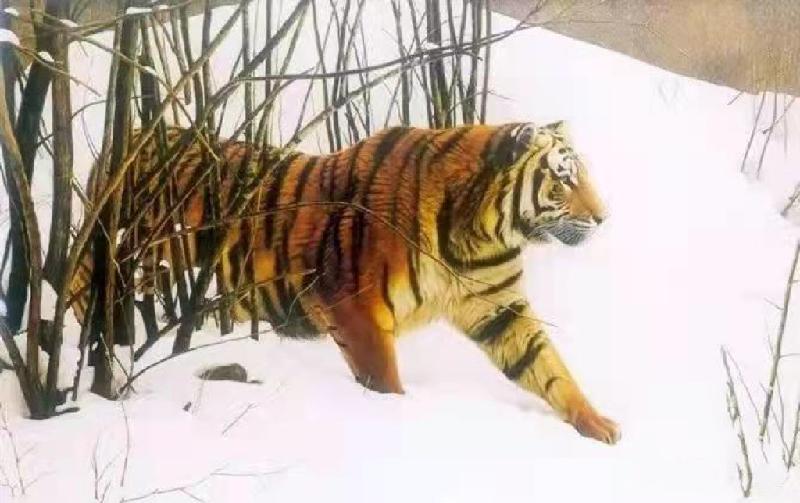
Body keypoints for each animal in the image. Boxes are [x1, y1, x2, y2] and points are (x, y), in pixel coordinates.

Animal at [69, 121, 619, 444]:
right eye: (564, 179)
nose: (604, 218)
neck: (481, 234)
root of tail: (130, 134)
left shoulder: (499, 307)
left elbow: (547, 368)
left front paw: (596, 424)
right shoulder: (356, 306)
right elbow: (385, 379)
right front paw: (395, 418)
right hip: (113, 261)